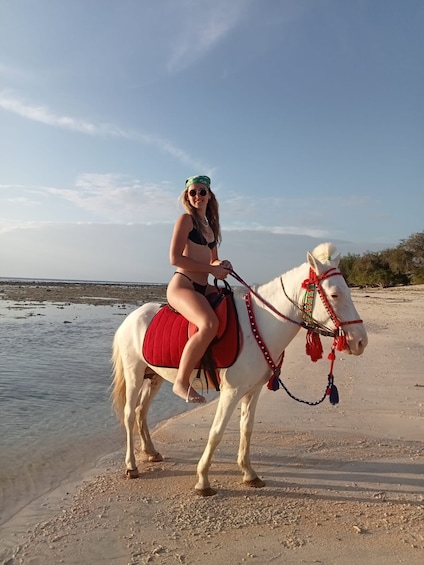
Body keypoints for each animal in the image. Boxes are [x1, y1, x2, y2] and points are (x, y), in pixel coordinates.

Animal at [112, 242, 368, 494]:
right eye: (334, 294)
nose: (361, 341)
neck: (260, 325)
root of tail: (132, 317)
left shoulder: (253, 390)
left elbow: (247, 429)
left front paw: (249, 473)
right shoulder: (231, 391)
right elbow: (216, 432)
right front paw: (203, 480)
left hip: (154, 377)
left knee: (141, 411)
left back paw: (151, 452)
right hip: (134, 373)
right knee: (129, 413)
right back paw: (131, 466)